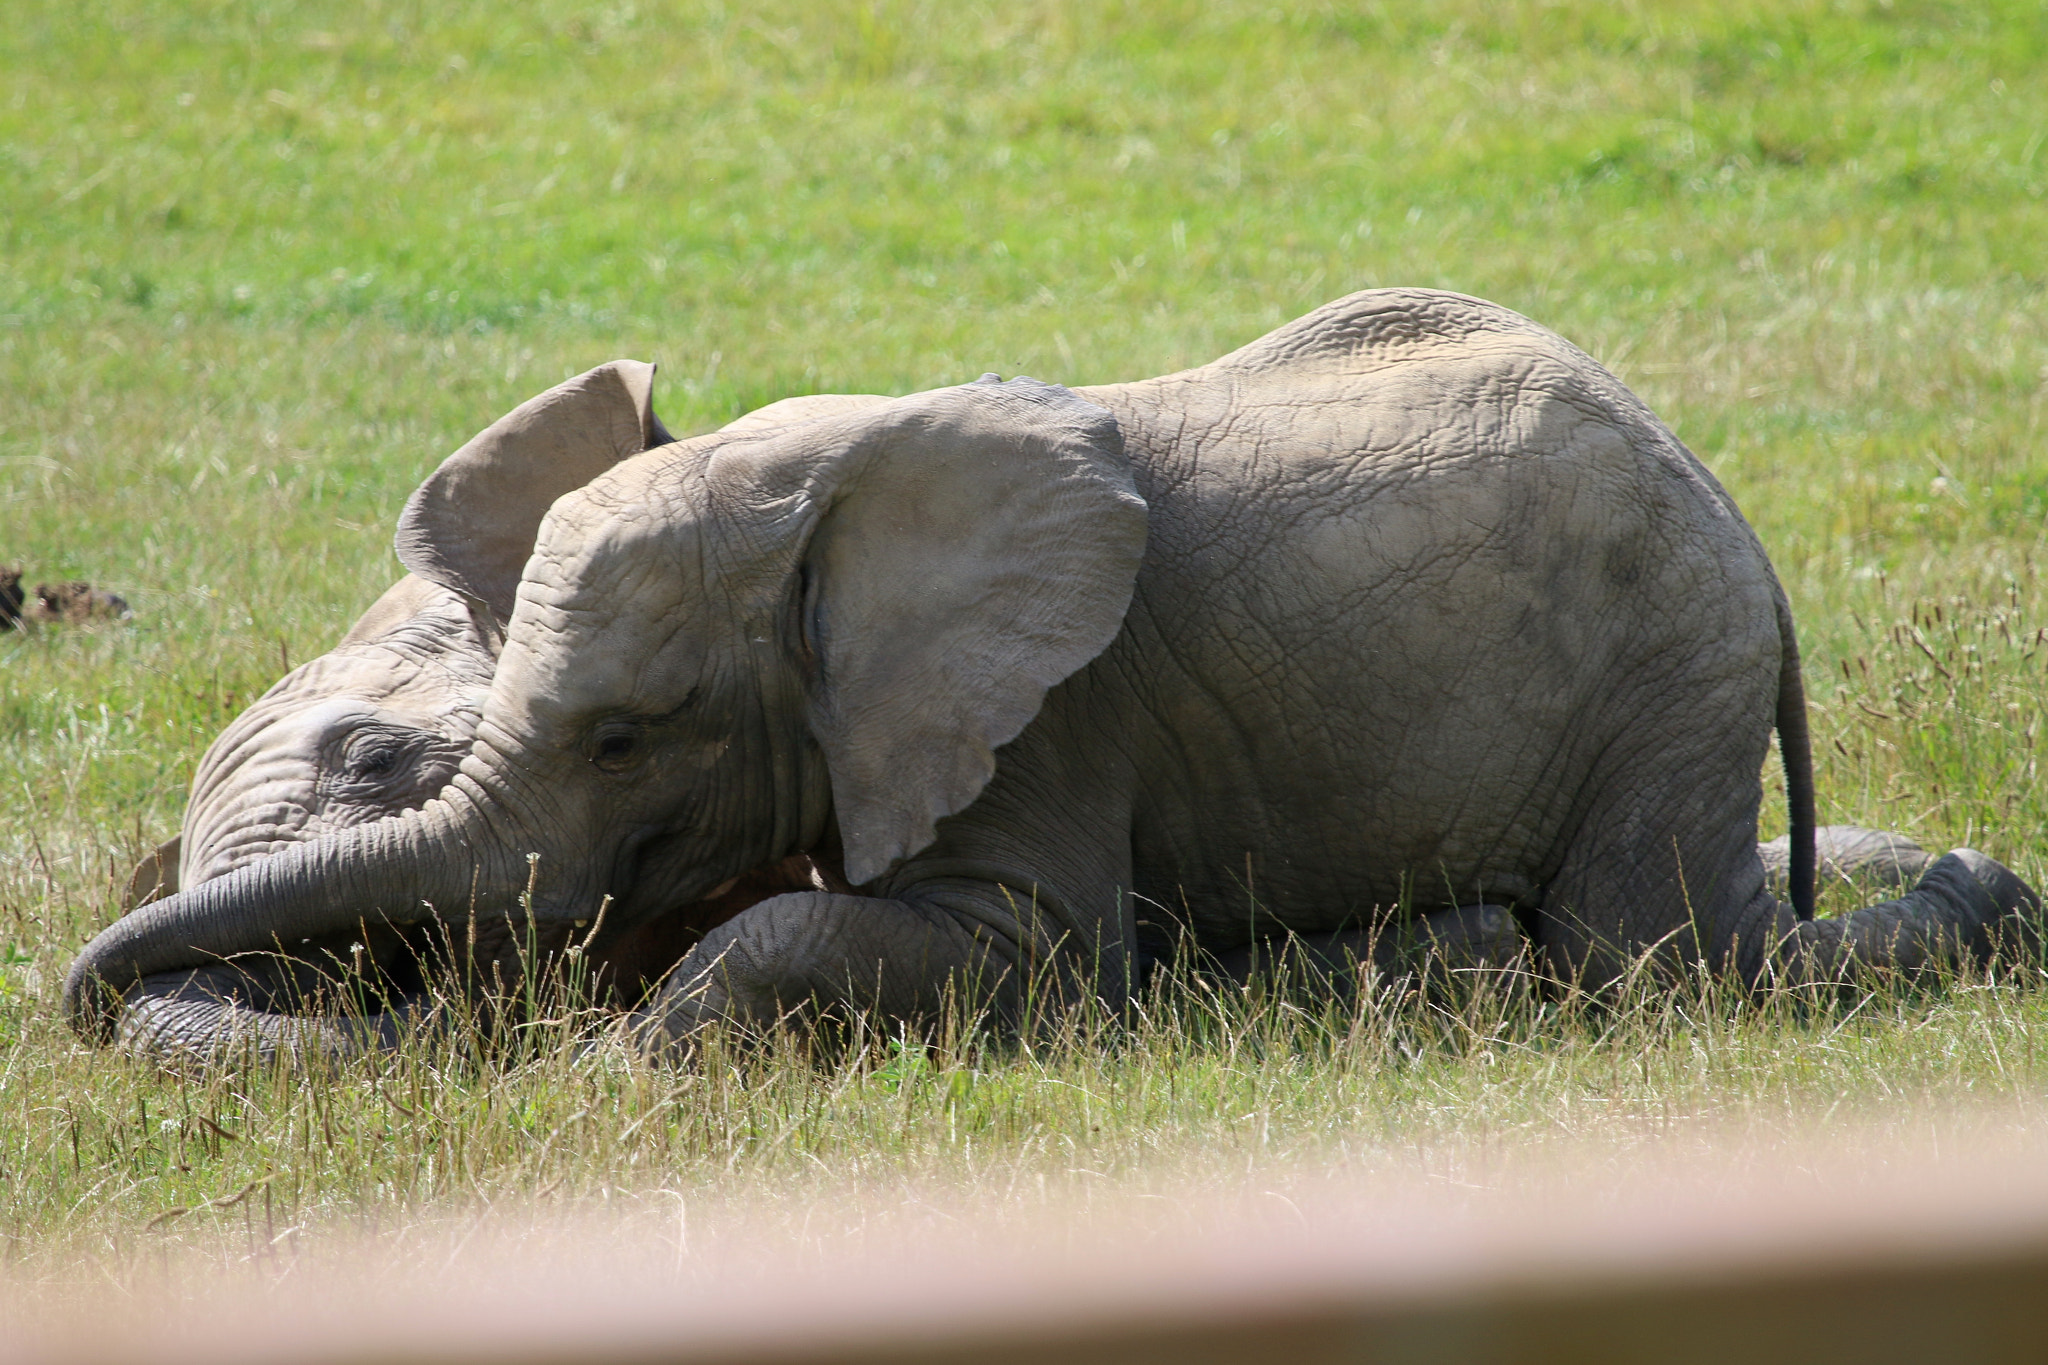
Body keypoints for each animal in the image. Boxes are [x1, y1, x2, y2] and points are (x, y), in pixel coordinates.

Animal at [68, 290, 2048, 1055]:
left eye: (629, 738)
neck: (828, 484)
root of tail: (1728, 505)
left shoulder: (1048, 716)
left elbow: (1003, 947)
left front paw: (626, 1070)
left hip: (1660, 656)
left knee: (1668, 959)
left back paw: (1973, 913)